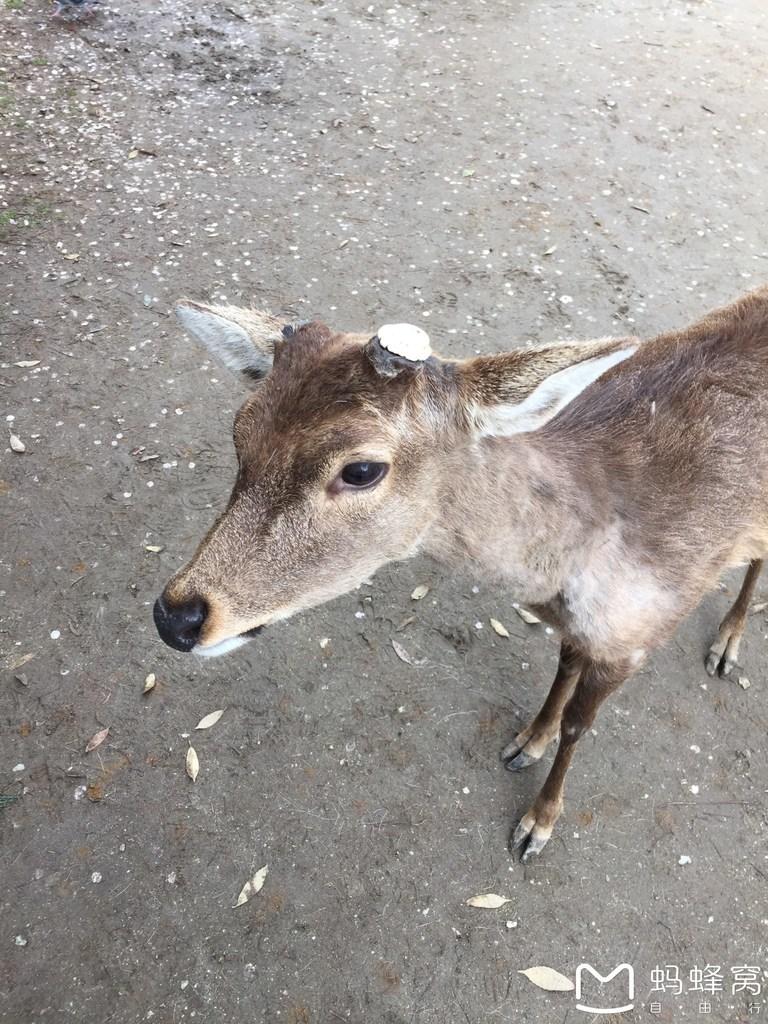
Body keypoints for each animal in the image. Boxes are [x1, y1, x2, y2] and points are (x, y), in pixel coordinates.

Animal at [153, 288, 768, 864]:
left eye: (361, 469)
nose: (175, 616)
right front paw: (527, 740)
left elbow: (579, 725)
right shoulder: (580, 626)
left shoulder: (637, 637)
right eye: (240, 430)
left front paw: (537, 824)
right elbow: (563, 667)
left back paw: (726, 643)